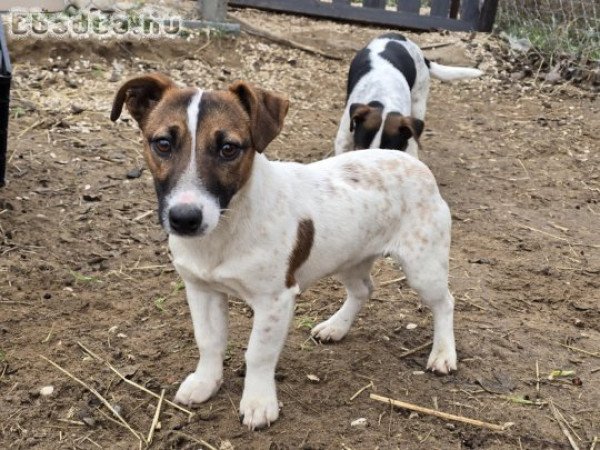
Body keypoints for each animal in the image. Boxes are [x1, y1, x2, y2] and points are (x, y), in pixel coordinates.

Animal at [111, 75, 454, 430]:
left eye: (228, 148)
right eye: (163, 143)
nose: (185, 218)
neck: (226, 227)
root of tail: (410, 161)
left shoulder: (274, 299)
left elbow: (258, 354)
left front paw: (258, 402)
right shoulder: (201, 289)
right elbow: (208, 341)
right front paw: (206, 382)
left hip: (422, 267)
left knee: (445, 303)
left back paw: (443, 353)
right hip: (349, 256)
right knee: (362, 290)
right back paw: (336, 326)